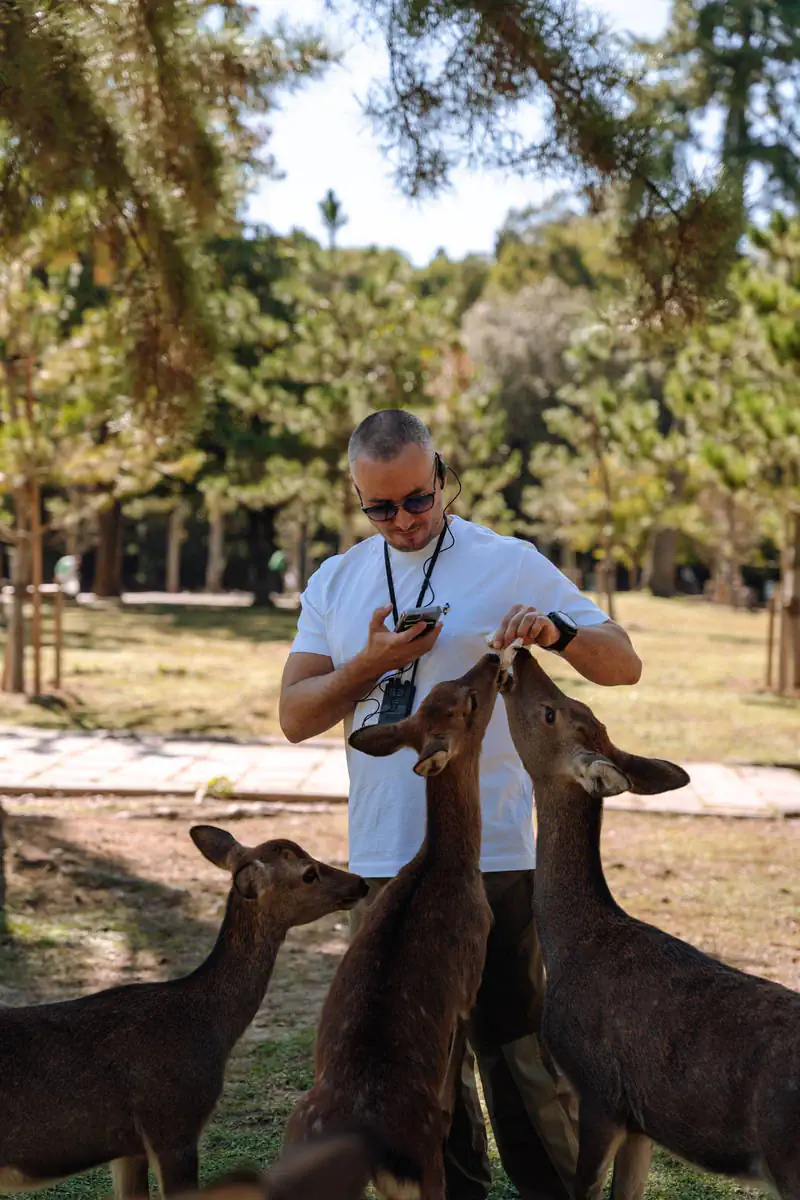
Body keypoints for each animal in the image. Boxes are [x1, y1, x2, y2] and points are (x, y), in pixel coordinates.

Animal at [284, 652, 503, 1200]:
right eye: (470, 700)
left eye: (451, 686)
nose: (493, 657)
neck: (445, 864)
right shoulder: (471, 977)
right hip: (422, 1170)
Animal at [501, 652, 800, 1200]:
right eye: (579, 707)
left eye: (551, 713)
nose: (526, 654)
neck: (571, 945)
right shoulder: (643, 1123)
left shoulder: (599, 1090)